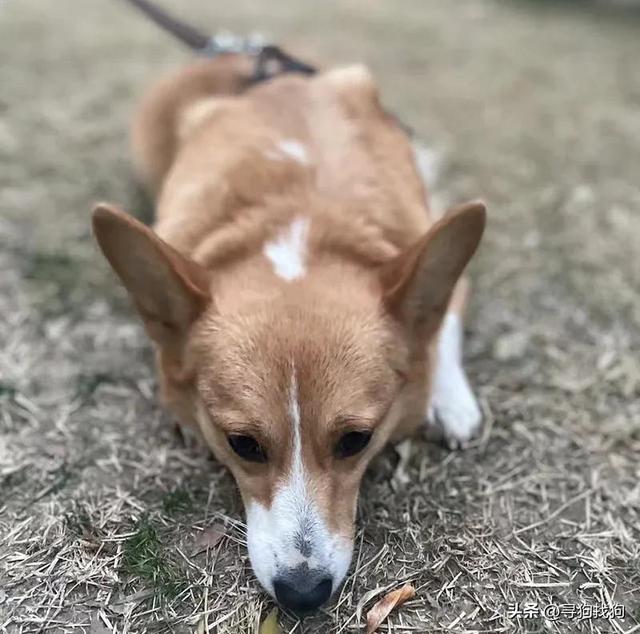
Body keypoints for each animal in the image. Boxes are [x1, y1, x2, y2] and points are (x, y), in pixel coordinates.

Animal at [92, 48, 484, 608]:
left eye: (356, 440)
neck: (301, 217)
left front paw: (449, 398)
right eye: (242, 444)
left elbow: (442, 322)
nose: (303, 595)